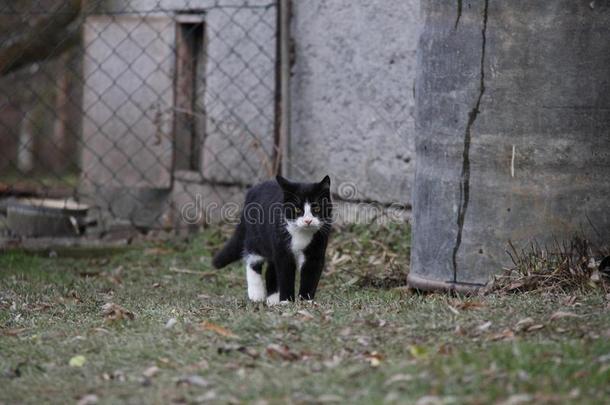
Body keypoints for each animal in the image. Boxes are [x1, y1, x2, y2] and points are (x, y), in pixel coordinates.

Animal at [211, 175, 330, 304]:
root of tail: (253, 190)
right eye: (297, 210)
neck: (301, 234)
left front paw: (305, 301)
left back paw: (273, 298)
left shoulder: (316, 252)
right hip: (256, 237)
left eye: (317, 208)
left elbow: (310, 275)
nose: (308, 220)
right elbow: (285, 274)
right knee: (252, 259)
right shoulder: (282, 250)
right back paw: (256, 294)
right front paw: (286, 301)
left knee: (270, 269)